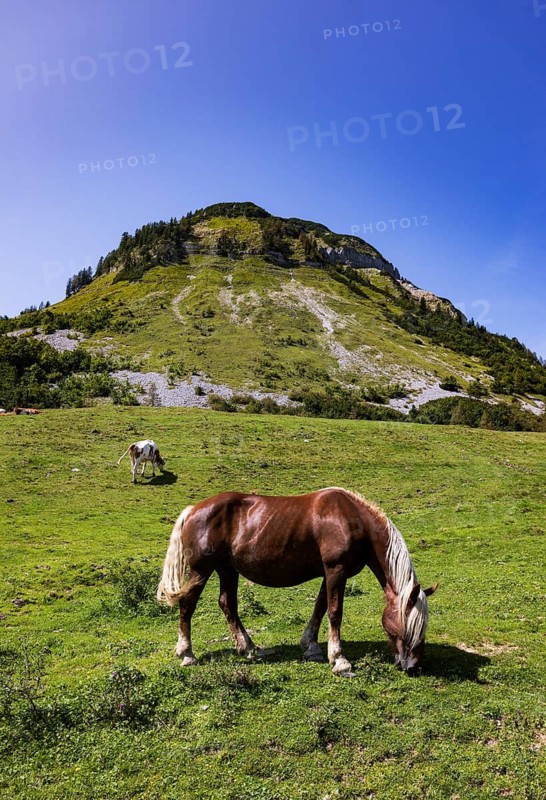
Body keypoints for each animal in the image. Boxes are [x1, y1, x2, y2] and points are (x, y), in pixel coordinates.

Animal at [157, 487, 438, 677]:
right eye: (409, 624)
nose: (414, 667)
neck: (351, 518)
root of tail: (192, 510)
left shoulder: (330, 573)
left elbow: (320, 607)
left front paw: (311, 647)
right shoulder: (335, 570)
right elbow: (335, 612)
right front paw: (339, 660)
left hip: (227, 569)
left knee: (228, 604)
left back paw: (248, 648)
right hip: (201, 571)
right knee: (187, 604)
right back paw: (187, 653)